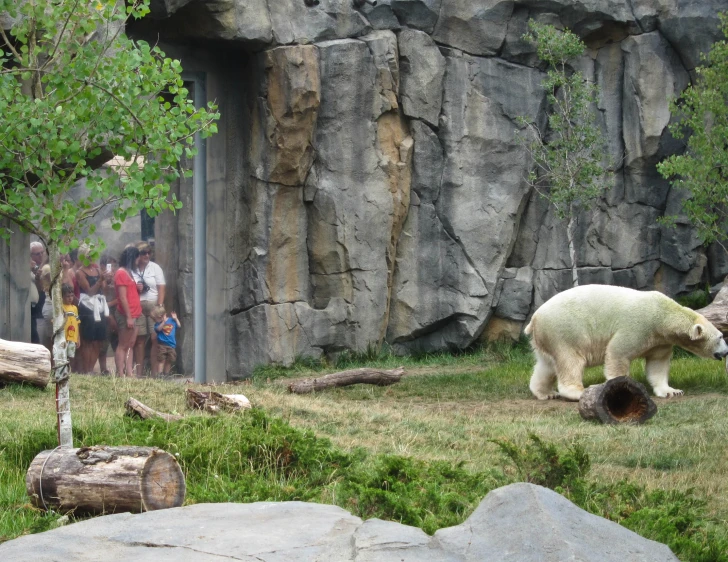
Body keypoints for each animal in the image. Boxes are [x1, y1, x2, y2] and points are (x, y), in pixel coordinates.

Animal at [524, 284, 728, 398]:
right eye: (720, 337)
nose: (726, 352)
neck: (663, 316)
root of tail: (535, 319)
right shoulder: (639, 326)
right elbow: (618, 352)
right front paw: (620, 387)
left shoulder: (660, 340)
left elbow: (658, 364)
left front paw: (672, 391)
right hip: (565, 330)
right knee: (571, 360)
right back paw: (578, 391)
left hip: (547, 337)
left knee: (547, 365)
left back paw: (546, 393)